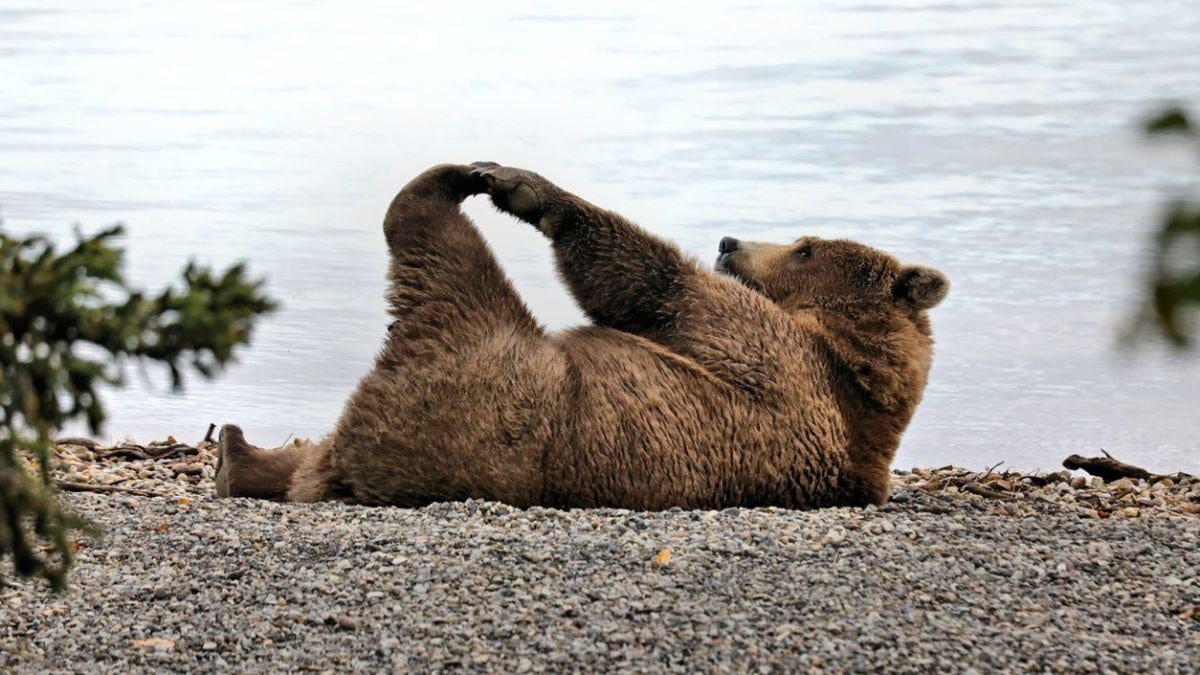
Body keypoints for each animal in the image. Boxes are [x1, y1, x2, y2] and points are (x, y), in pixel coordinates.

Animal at [214, 162, 949, 509]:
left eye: (803, 248)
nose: (729, 242)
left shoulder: (779, 361)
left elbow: (658, 288)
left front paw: (525, 189)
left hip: (484, 381)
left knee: (444, 264)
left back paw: (443, 184)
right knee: (306, 455)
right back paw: (237, 453)